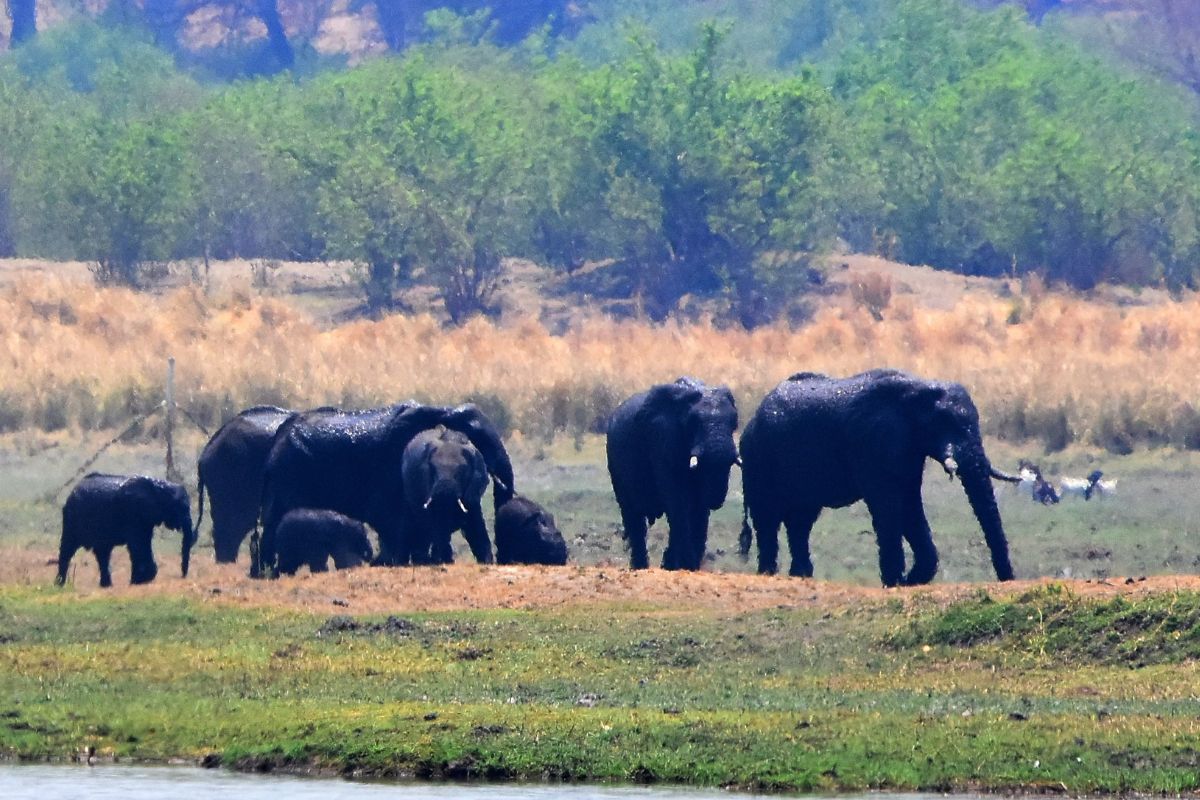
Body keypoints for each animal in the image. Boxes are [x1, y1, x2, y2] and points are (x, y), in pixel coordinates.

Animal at [56, 473, 195, 588]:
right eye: (181, 507)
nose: (182, 575)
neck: (159, 487)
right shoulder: (132, 512)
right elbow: (138, 543)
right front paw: (140, 580)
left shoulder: (145, 518)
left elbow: (144, 540)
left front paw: (141, 579)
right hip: (71, 518)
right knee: (68, 548)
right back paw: (59, 585)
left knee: (103, 552)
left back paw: (106, 586)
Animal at [401, 426, 493, 564]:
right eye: (432, 469)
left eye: (462, 471)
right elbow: (438, 524)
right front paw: (446, 561)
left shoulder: (473, 492)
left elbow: (475, 523)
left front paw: (488, 562)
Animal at [606, 377, 740, 571]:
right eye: (693, 421)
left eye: (734, 421)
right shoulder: (662, 441)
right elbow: (678, 499)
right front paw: (687, 565)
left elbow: (698, 506)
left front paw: (680, 565)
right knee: (633, 516)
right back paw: (641, 567)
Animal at [738, 369, 1020, 587]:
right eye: (945, 422)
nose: (1007, 579)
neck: (916, 391)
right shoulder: (872, 443)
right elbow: (888, 505)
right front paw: (896, 582)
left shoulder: (908, 451)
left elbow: (910, 505)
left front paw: (909, 581)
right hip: (757, 459)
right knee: (767, 518)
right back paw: (769, 574)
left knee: (800, 522)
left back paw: (801, 576)